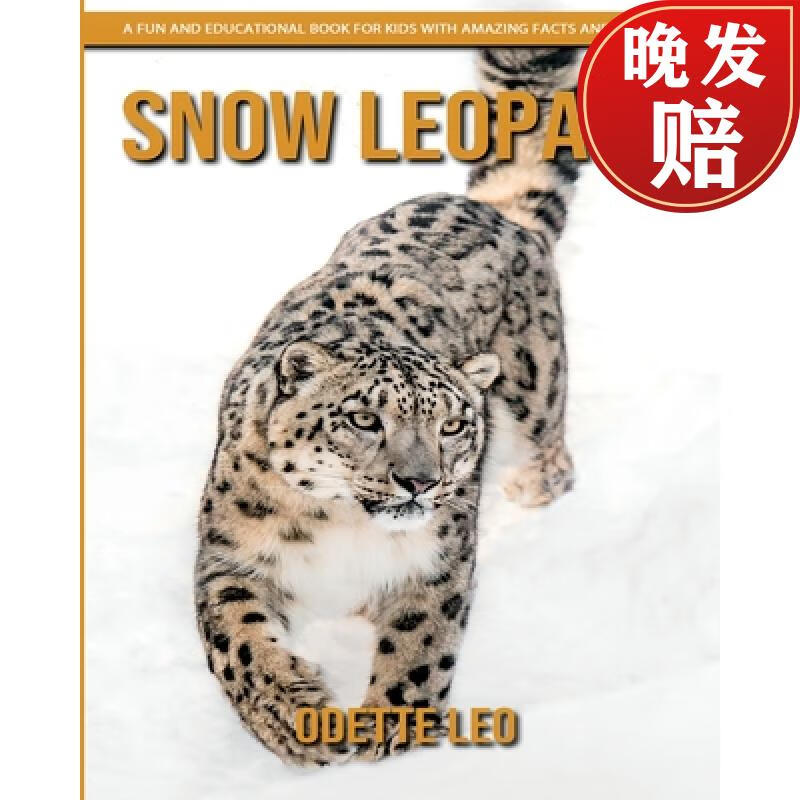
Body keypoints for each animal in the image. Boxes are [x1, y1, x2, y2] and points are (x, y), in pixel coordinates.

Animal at [195, 47, 584, 766]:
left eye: (452, 424)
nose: (419, 481)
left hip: (534, 390)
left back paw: (534, 485)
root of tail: (492, 214)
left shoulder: (436, 566)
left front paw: (386, 750)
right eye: (364, 419)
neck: (342, 526)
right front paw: (295, 721)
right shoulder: (231, 557)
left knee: (552, 447)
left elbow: (417, 656)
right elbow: (237, 644)